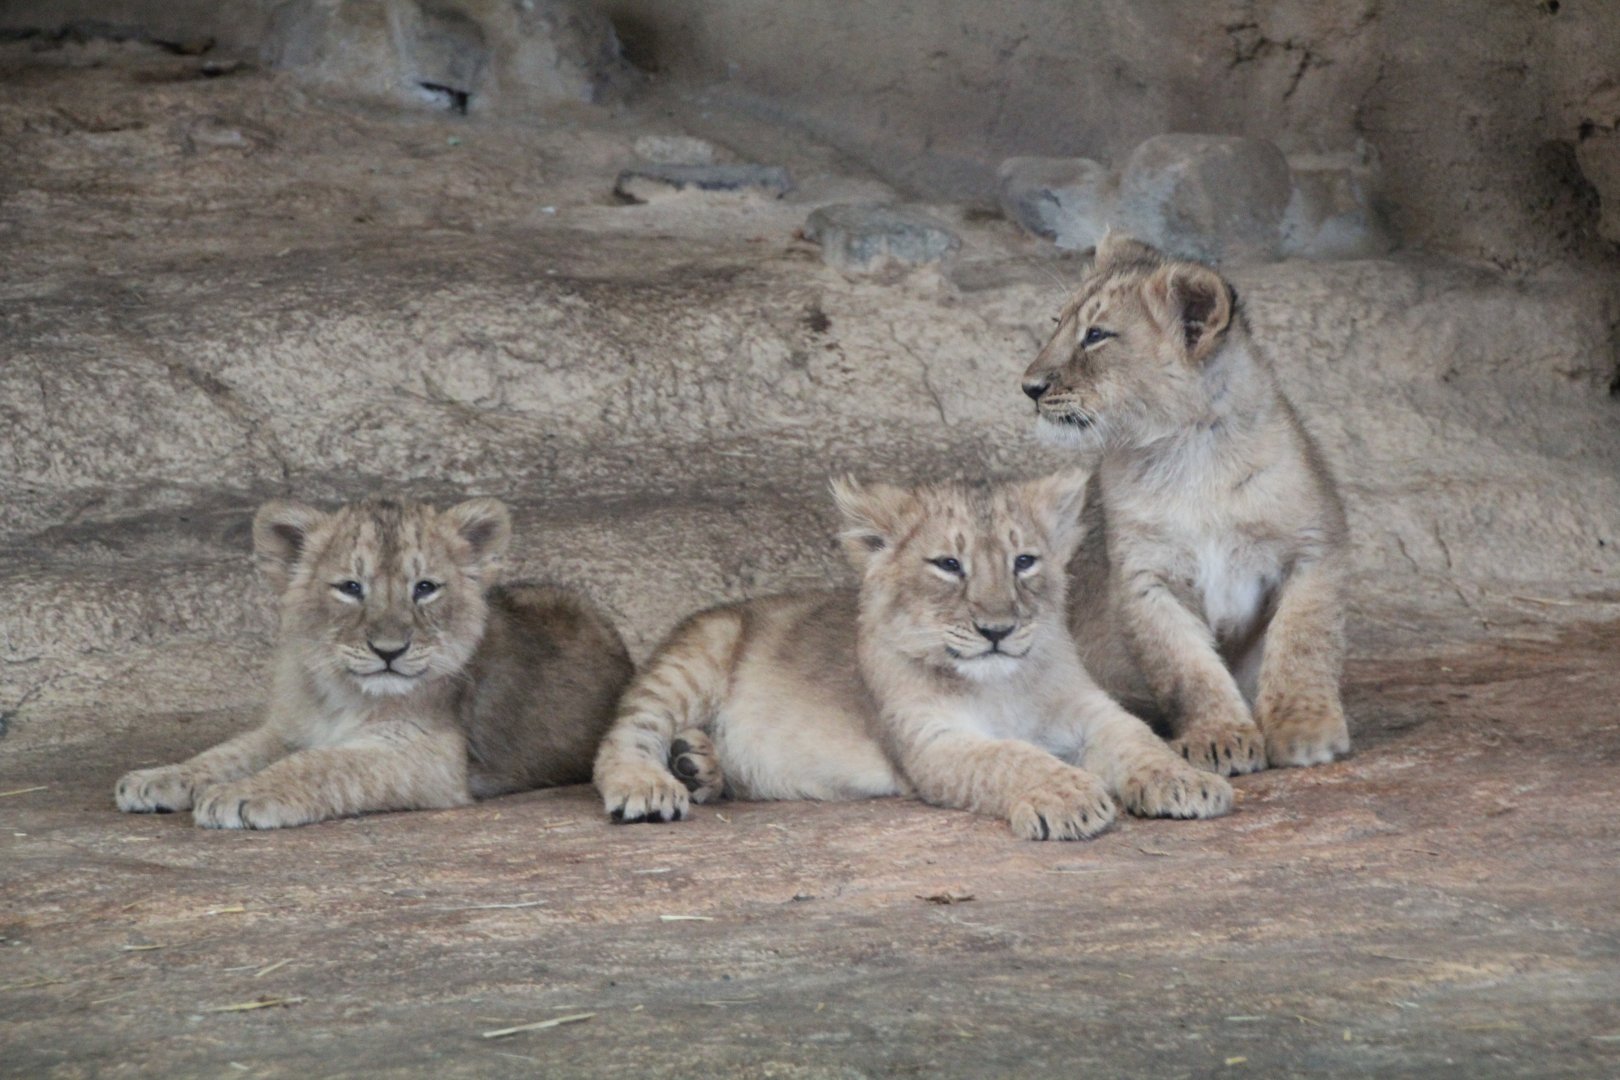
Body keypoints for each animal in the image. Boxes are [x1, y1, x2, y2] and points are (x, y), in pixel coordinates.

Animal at [115, 497, 633, 829]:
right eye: (350, 587)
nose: (389, 650)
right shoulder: (288, 729)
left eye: (424, 588)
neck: (340, 693)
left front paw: (239, 795)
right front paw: (155, 779)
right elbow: (226, 753)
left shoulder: (428, 758)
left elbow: (322, 764)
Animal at [592, 473, 1231, 840]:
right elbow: (1012, 756)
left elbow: (1138, 740)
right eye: (948, 565)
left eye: (1024, 561)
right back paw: (652, 784)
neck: (1000, 682)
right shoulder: (931, 740)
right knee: (621, 737)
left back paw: (697, 763)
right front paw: (1070, 797)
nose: (997, 629)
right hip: (697, 652)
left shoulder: (1091, 711)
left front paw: (1187, 782)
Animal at [1020, 233, 1351, 775]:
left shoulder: (1314, 550)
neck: (1189, 452)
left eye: (1096, 335)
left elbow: (1302, 644)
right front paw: (1219, 737)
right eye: (1057, 323)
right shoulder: (1145, 578)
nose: (1029, 387)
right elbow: (1185, 668)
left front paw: (1305, 728)